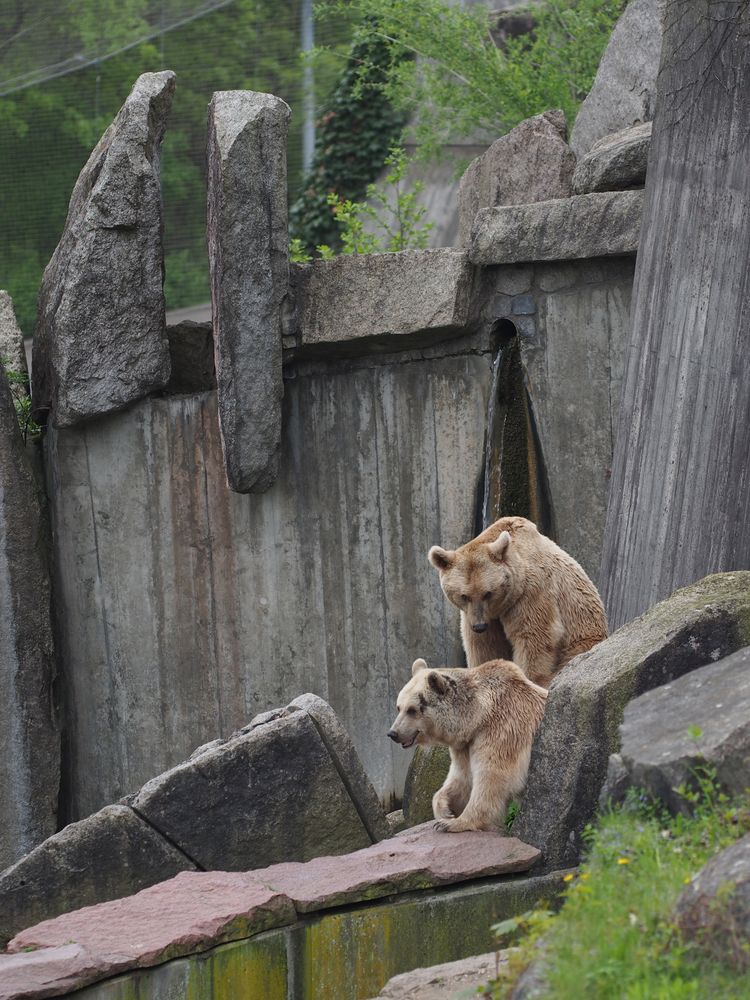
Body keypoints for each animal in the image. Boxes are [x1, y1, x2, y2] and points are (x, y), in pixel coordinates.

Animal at [388, 660, 548, 832]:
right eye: (399, 707)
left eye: (412, 710)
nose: (393, 733)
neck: (478, 716)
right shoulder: (465, 745)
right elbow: (462, 779)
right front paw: (445, 811)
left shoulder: (503, 731)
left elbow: (491, 778)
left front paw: (453, 823)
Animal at [428, 516, 612, 688]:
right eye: (464, 596)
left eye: (488, 593)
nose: (479, 626)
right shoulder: (478, 617)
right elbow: (484, 645)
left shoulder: (532, 593)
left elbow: (534, 636)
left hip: (581, 642)